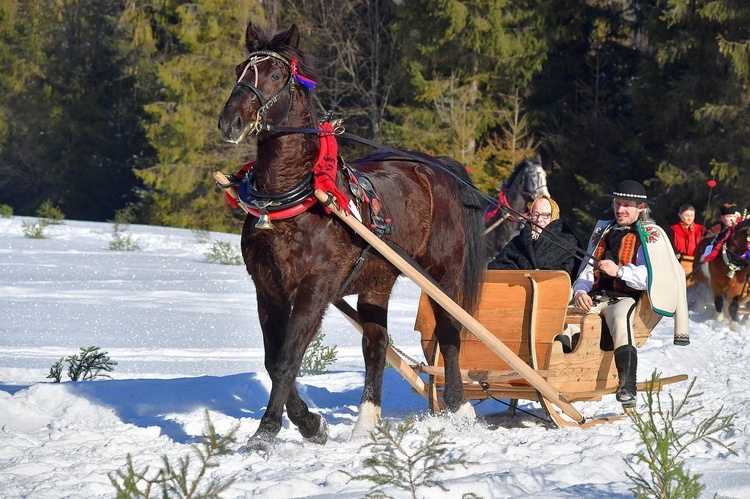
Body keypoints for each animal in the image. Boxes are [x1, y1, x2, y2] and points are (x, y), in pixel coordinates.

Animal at [217, 21, 488, 454]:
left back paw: (458, 407)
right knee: (375, 347)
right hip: (377, 283)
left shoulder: (315, 288)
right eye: (241, 69)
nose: (230, 122)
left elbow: (287, 358)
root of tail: (435, 167)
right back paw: (366, 423)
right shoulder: (268, 288)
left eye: (274, 74)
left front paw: (266, 432)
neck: (287, 200)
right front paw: (311, 424)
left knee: (449, 334)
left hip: (441, 274)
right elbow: (274, 360)